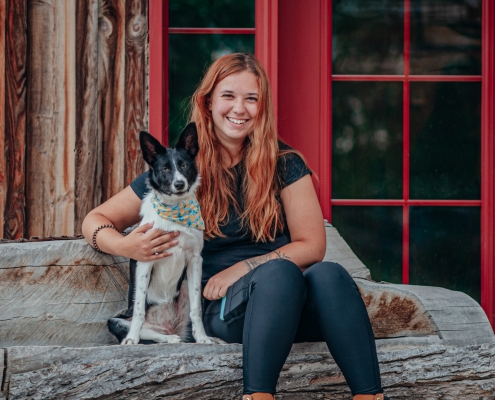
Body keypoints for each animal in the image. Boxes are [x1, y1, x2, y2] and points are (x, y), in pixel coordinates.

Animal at [108, 123, 215, 346]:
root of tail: (167, 326)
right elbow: (139, 309)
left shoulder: (195, 260)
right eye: (165, 169)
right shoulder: (145, 260)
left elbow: (196, 310)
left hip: (188, 285)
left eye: (184, 165)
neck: (175, 211)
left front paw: (202, 337)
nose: (179, 184)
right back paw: (161, 338)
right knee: (145, 329)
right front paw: (131, 339)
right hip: (114, 320)